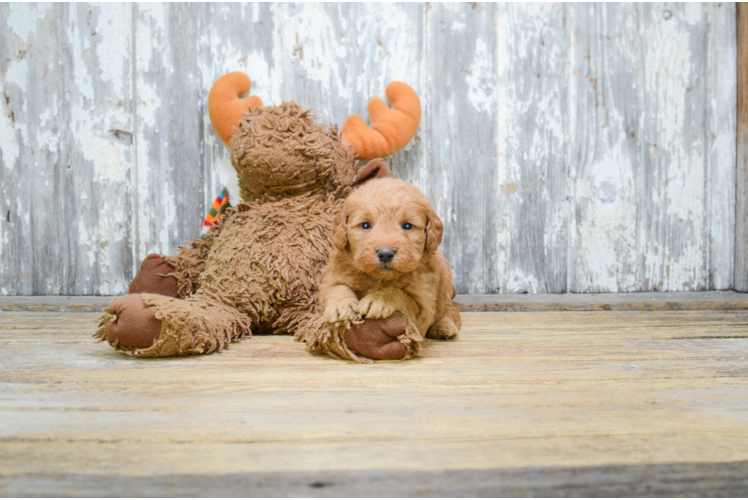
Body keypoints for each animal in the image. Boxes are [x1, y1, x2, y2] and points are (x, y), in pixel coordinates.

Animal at [322, 177, 462, 360]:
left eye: (407, 226)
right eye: (365, 225)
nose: (385, 253)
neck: (379, 278)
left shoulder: (423, 308)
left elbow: (401, 295)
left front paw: (380, 300)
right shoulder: (332, 276)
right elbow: (335, 288)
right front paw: (341, 306)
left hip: (445, 287)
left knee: (451, 311)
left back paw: (445, 327)